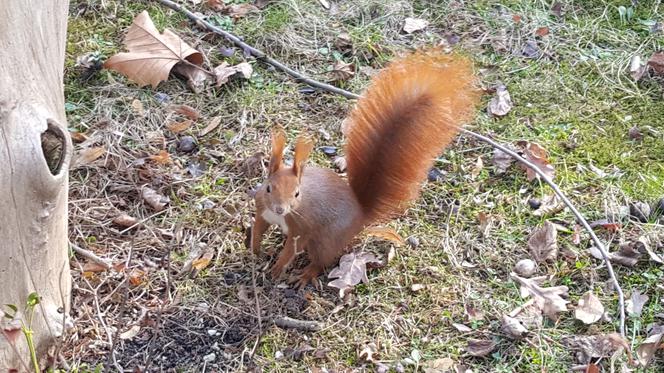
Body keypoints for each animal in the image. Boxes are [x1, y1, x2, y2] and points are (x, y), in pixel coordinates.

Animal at [252, 50, 480, 286]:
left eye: (297, 193)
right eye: (268, 188)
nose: (280, 209)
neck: (280, 215)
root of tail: (360, 217)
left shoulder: (301, 228)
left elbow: (292, 250)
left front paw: (277, 268)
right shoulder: (262, 209)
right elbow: (257, 229)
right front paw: (254, 249)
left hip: (326, 240)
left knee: (320, 261)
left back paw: (305, 275)